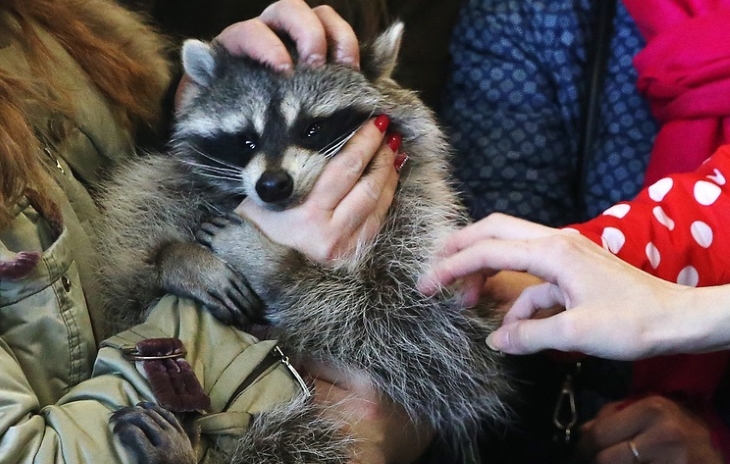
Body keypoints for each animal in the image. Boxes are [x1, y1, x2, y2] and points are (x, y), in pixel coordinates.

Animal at [99, 24, 512, 464]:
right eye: (247, 141)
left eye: (311, 129)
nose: (272, 185)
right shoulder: (168, 188)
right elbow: (126, 282)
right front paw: (177, 260)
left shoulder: (418, 221)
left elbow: (420, 329)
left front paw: (278, 266)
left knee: (299, 438)